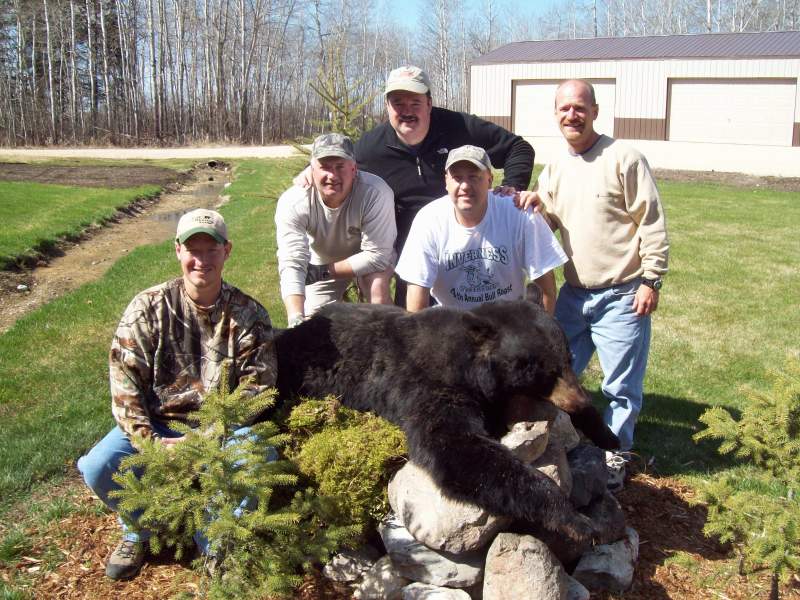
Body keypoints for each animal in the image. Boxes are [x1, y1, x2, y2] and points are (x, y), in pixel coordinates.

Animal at [276, 286, 620, 548]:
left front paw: (607, 434)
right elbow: (455, 448)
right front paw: (578, 521)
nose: (578, 399)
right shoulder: (430, 386)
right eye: (543, 372)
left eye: (569, 358)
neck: (467, 363)